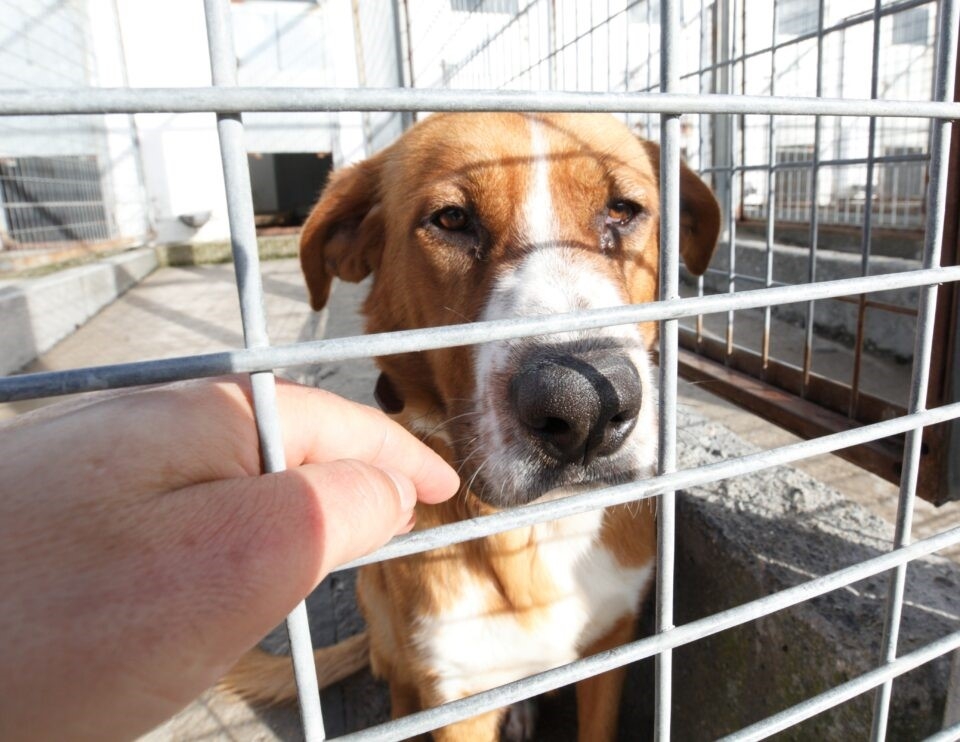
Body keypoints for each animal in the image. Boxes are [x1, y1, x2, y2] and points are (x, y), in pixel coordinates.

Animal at [225, 112, 720, 742]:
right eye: (452, 219)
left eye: (622, 210)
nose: (585, 406)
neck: (539, 531)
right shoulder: (458, 696)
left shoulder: (612, 645)